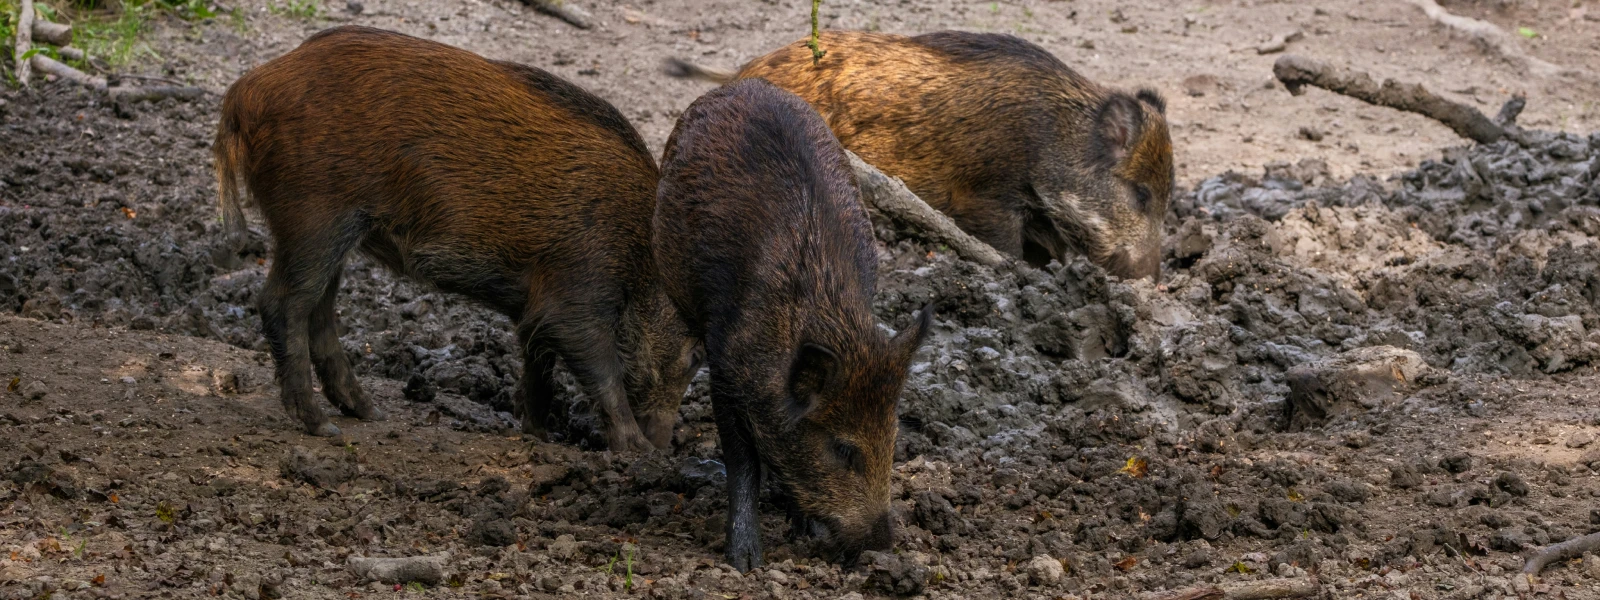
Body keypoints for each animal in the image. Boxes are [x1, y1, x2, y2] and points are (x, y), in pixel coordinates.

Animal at [213, 26, 697, 451]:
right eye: (694, 357)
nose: (667, 445)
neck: (640, 251)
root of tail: (244, 91)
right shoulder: (577, 288)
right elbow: (599, 367)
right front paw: (637, 451)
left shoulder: (534, 308)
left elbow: (538, 365)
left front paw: (540, 437)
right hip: (315, 214)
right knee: (282, 303)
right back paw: (320, 426)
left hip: (328, 230)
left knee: (319, 311)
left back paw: (368, 413)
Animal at [653, 78, 934, 571]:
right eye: (842, 448)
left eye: (894, 439)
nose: (882, 546)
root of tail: (739, 84)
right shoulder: (725, 371)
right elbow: (743, 463)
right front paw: (746, 561)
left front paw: (804, 529)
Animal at [665, 30, 1174, 279]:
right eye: (1141, 194)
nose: (1151, 280)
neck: (1050, 140)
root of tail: (738, 73)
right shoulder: (985, 197)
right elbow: (1005, 248)